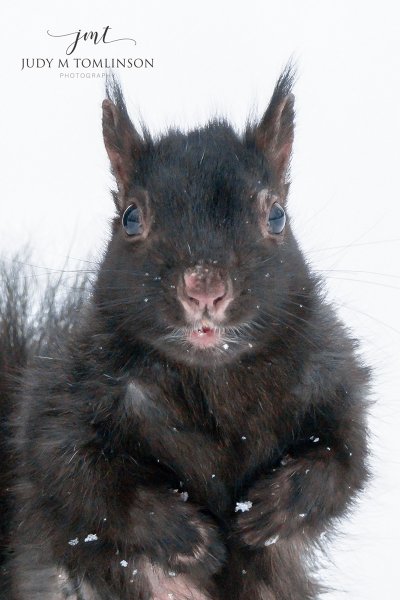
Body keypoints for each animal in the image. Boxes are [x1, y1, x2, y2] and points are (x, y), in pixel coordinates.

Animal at [5, 66, 370, 600]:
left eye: (276, 215)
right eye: (131, 217)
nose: (205, 287)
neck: (212, 379)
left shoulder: (330, 378)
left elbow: (343, 460)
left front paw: (268, 512)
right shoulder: (66, 400)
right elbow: (82, 477)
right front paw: (188, 536)